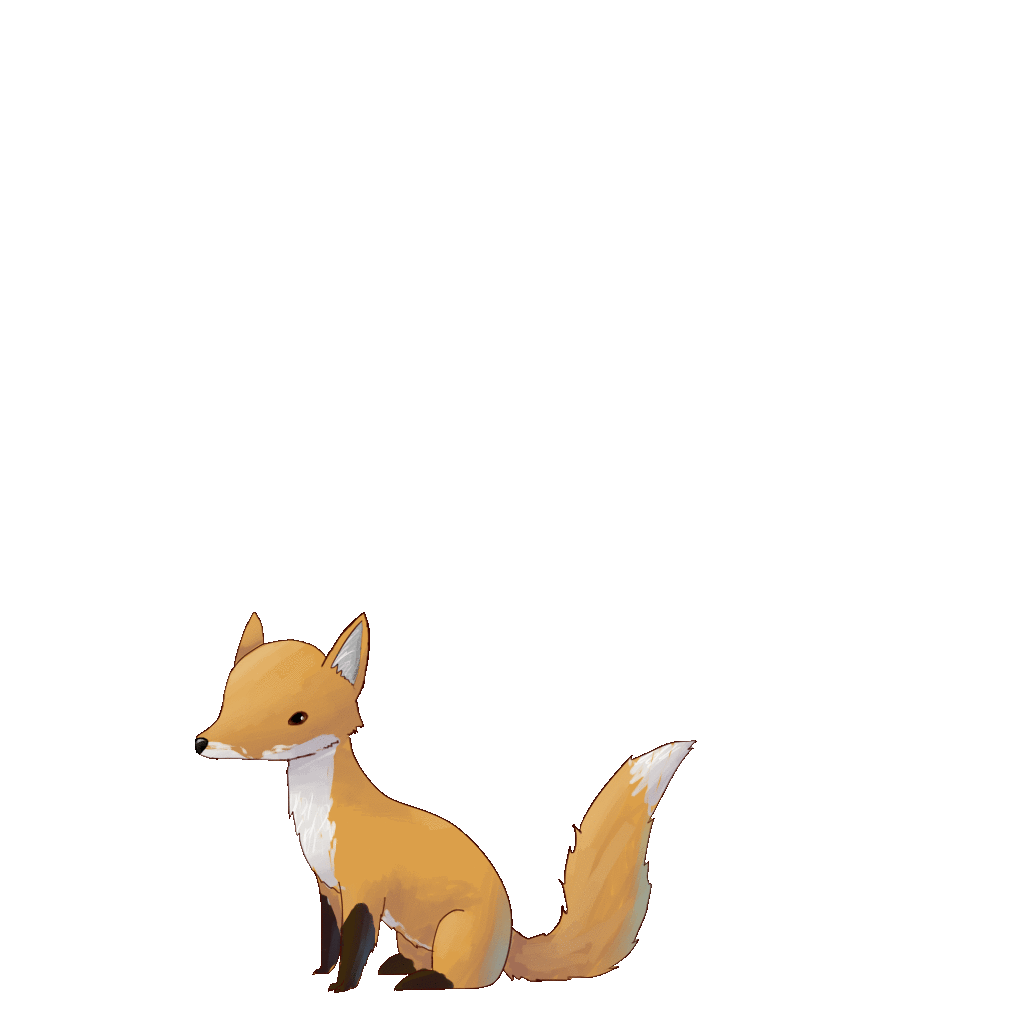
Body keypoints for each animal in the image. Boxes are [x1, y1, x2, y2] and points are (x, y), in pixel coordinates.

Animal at [195, 612, 694, 992]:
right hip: (412, 936)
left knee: (464, 981)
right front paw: (319, 975)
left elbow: (354, 948)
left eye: (297, 717)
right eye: (227, 702)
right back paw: (400, 968)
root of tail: (510, 936)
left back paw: (416, 983)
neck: (321, 818)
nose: (203, 742)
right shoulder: (326, 887)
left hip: (454, 932)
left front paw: (341, 989)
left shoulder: (363, 892)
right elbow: (330, 941)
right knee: (423, 962)